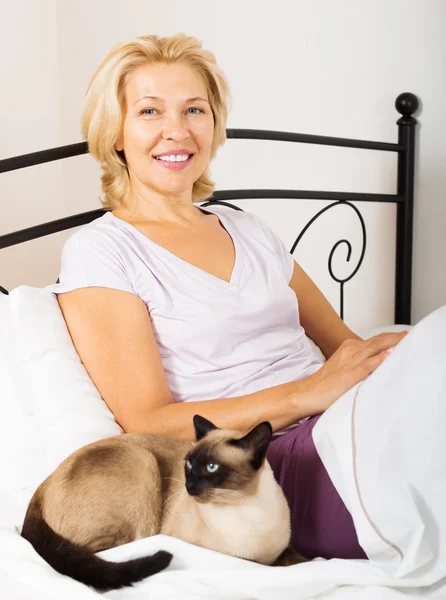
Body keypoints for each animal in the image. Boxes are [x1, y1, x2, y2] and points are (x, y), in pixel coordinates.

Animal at [21, 418, 306, 592]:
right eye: (188, 465)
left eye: (211, 467)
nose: (189, 486)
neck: (242, 506)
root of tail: (43, 485)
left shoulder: (281, 551)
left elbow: (297, 560)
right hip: (142, 462)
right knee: (103, 551)